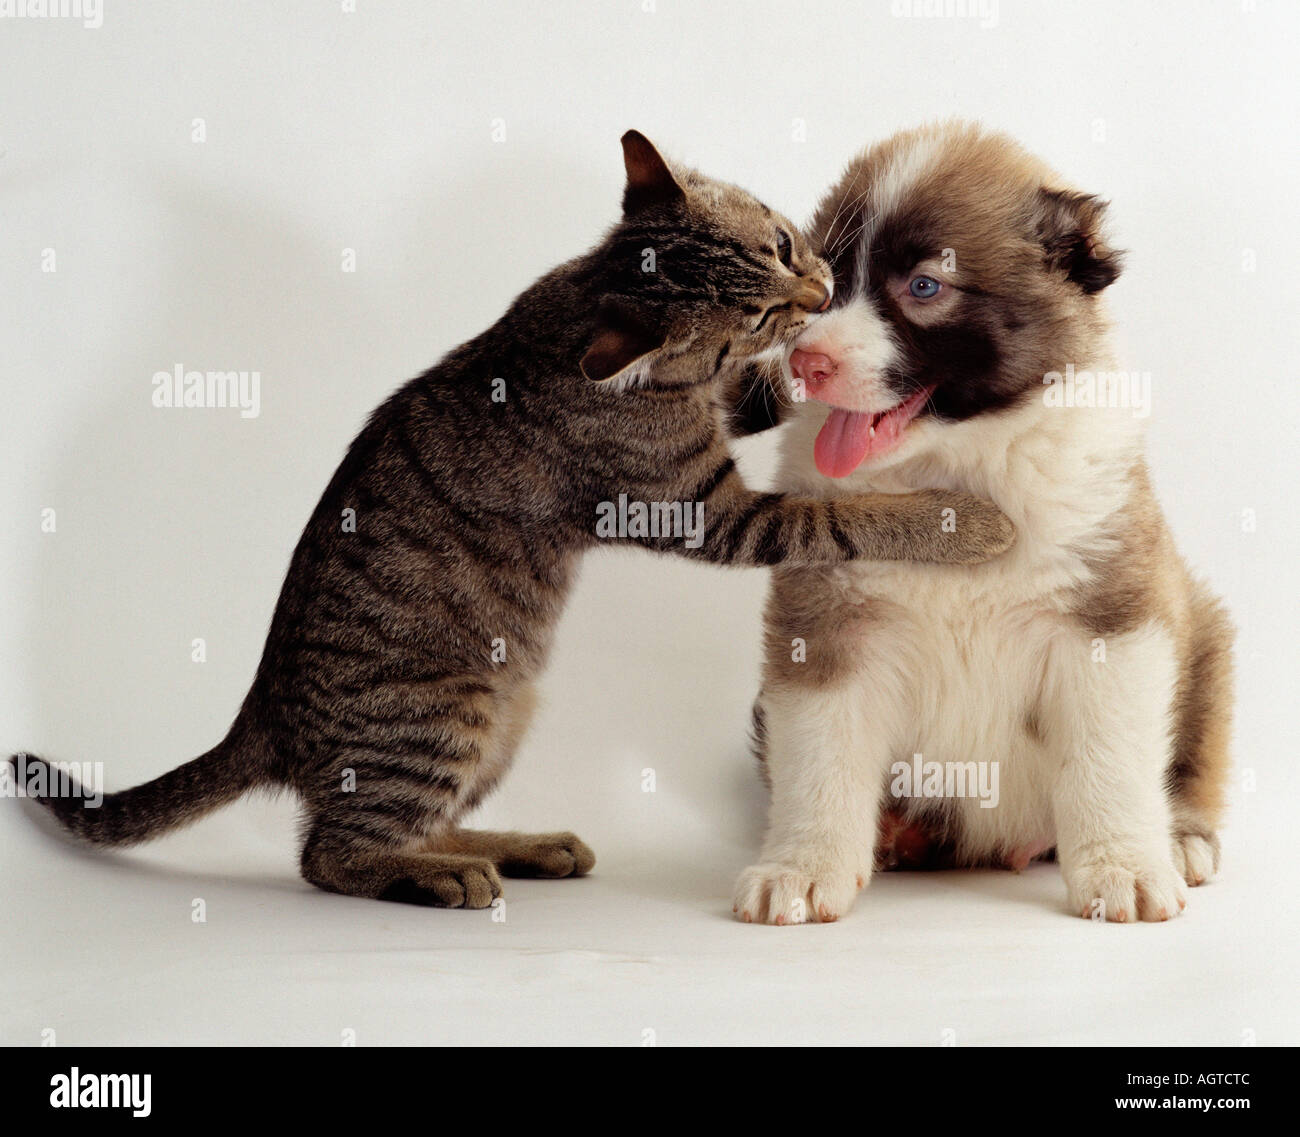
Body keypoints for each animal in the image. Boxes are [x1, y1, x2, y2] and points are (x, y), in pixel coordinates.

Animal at [15, 133, 1013, 909]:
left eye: (781, 240)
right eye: (759, 311)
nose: (816, 292)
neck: (578, 305)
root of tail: (260, 713)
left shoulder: (717, 417)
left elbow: (770, 402)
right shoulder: (698, 508)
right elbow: (835, 515)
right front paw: (959, 520)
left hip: (509, 710)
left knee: (412, 828)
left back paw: (519, 847)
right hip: (445, 714)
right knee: (333, 853)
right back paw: (448, 876)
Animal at [738, 122, 1232, 925]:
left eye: (924, 287)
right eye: (829, 281)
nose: (806, 362)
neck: (956, 467)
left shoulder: (1113, 616)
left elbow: (1110, 757)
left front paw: (1124, 866)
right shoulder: (828, 619)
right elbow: (818, 752)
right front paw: (801, 867)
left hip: (1207, 640)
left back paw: (1182, 837)